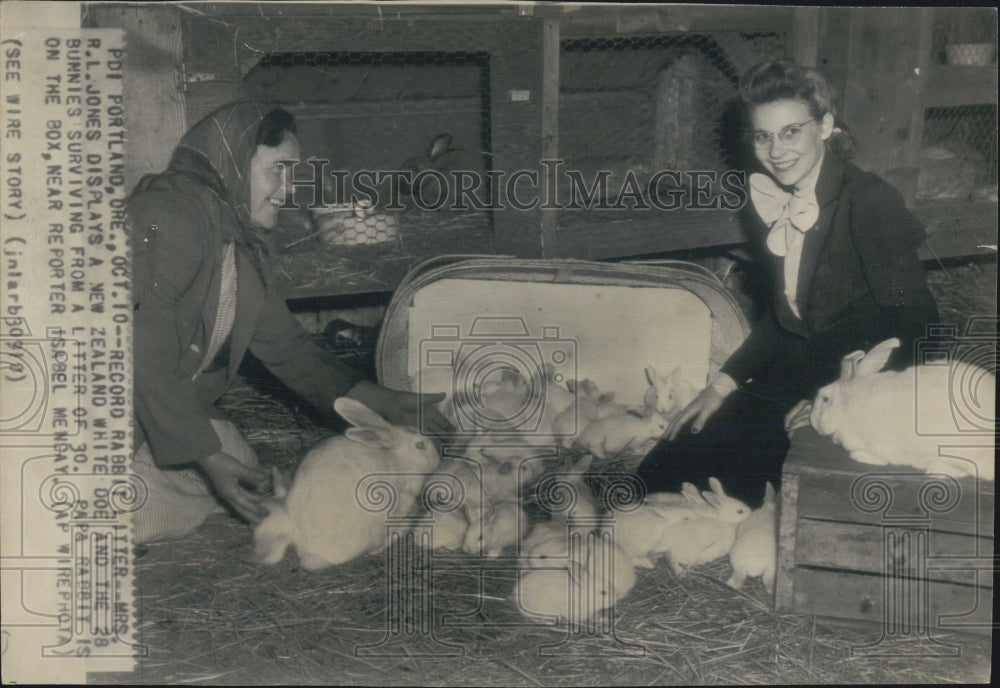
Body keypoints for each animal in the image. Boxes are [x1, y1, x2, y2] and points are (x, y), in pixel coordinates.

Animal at [812, 338, 992, 478]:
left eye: (825, 399)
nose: (812, 421)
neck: (848, 407)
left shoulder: (881, 444)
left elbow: (880, 458)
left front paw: (859, 456)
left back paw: (936, 469)